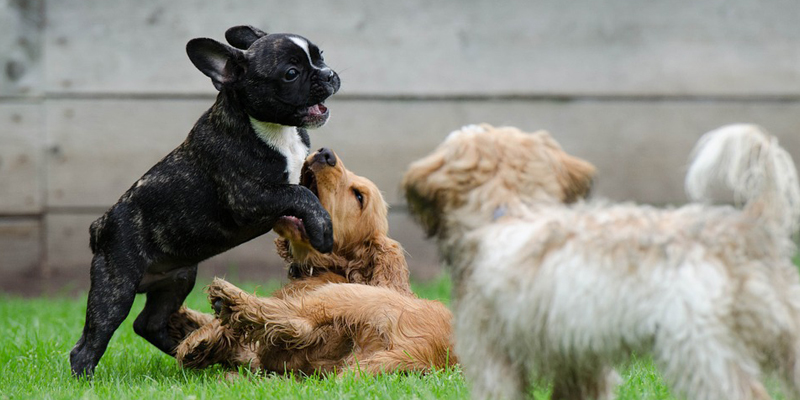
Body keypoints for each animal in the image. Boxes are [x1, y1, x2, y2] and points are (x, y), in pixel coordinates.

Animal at [69, 25, 340, 378]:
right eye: (291, 73)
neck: (274, 129)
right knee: (91, 340)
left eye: (320, 56)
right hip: (116, 288)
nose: (330, 73)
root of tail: (101, 225)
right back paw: (87, 378)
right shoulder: (250, 198)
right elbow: (299, 194)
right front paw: (322, 231)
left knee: (148, 323)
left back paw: (191, 352)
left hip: (178, 279)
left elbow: (307, 190)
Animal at [169, 147, 456, 376]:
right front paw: (185, 320)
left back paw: (228, 299)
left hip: (347, 296)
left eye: (359, 196)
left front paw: (199, 337)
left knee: (295, 321)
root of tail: (425, 352)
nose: (325, 153)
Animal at [404, 122, 800, 400]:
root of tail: (750, 227)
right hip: (786, 338)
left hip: (700, 350)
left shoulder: (492, 358)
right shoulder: (580, 364)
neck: (510, 210)